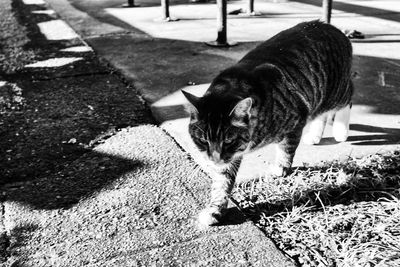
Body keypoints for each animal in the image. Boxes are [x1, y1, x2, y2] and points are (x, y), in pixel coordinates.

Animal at [182, 19, 354, 227]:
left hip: (335, 91)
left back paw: (341, 130)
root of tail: (334, 28)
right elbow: (222, 181)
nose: (215, 159)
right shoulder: (228, 159)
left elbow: (286, 149)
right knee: (321, 112)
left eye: (229, 140)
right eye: (202, 140)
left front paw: (281, 168)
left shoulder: (296, 120)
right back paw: (315, 135)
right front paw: (215, 209)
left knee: (348, 96)